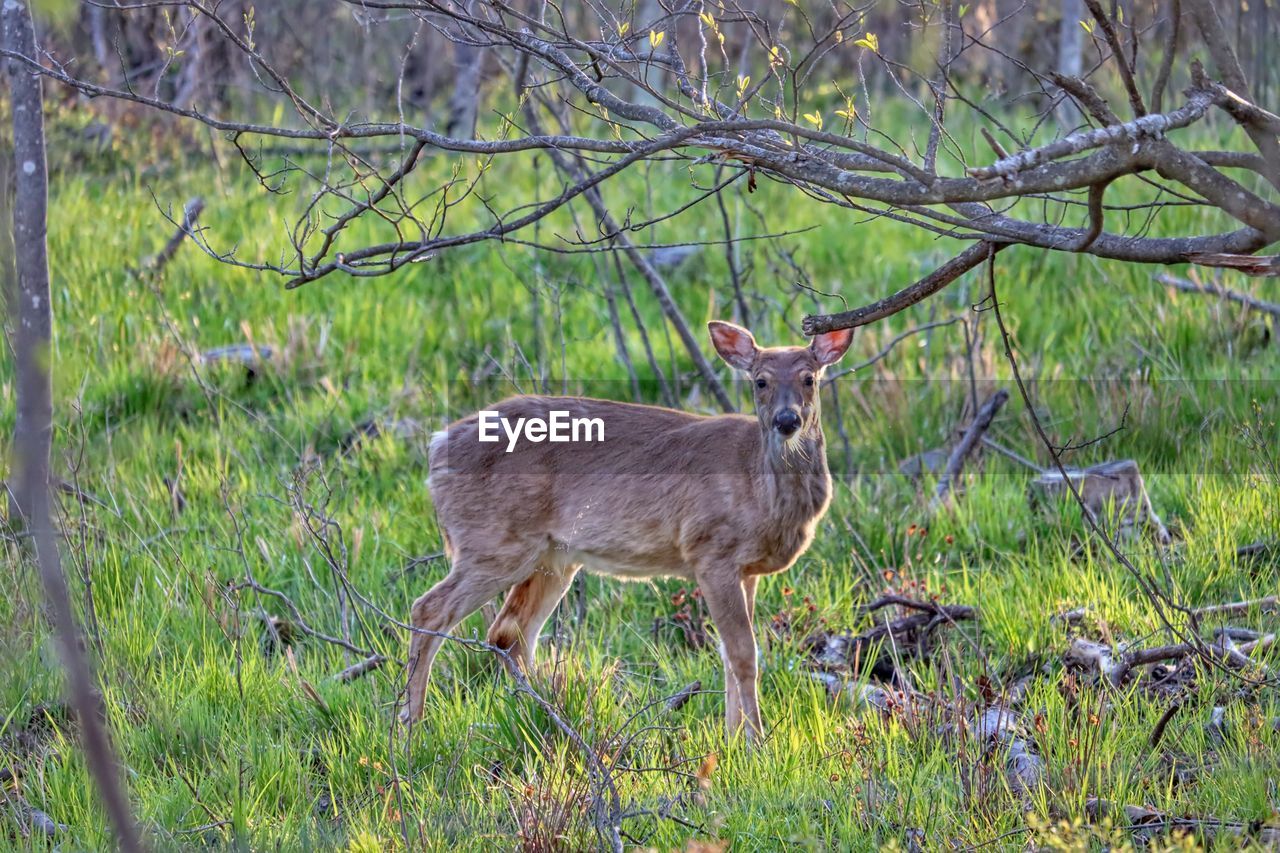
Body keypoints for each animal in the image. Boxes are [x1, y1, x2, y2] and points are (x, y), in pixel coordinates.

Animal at [404, 318, 855, 737]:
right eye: (760, 381)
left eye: (810, 378)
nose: (786, 420)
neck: (763, 492)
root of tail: (437, 446)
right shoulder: (711, 550)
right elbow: (744, 654)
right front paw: (753, 743)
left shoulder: (748, 569)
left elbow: (729, 654)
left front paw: (732, 738)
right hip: (495, 540)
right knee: (429, 609)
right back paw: (409, 728)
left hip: (552, 557)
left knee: (509, 633)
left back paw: (540, 716)